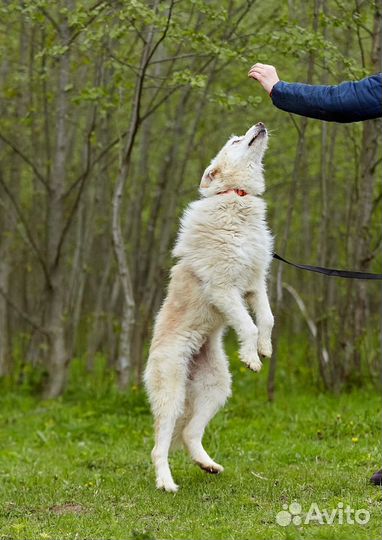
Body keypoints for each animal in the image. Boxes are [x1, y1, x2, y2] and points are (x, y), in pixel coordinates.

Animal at [144, 123, 274, 494]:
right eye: (235, 140)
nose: (260, 124)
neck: (237, 197)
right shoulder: (224, 288)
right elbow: (248, 325)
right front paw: (251, 357)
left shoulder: (256, 282)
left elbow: (267, 319)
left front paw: (264, 349)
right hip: (172, 393)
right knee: (159, 445)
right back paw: (166, 484)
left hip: (216, 388)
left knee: (189, 433)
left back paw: (208, 465)